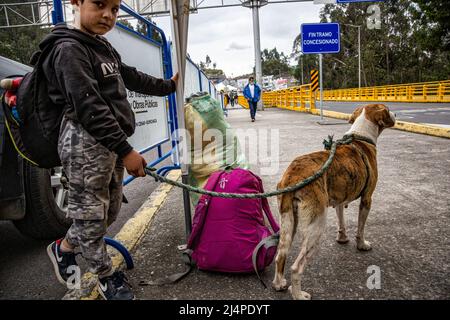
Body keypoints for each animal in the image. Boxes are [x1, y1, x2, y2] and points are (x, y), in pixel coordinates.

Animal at [270, 104, 394, 300]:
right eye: (388, 110)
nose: (395, 113)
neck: (361, 135)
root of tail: (292, 176)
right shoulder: (367, 198)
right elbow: (361, 228)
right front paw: (362, 245)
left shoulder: (339, 200)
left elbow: (341, 220)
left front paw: (342, 238)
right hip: (316, 226)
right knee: (296, 267)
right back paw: (298, 294)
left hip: (288, 220)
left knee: (281, 254)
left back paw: (279, 283)